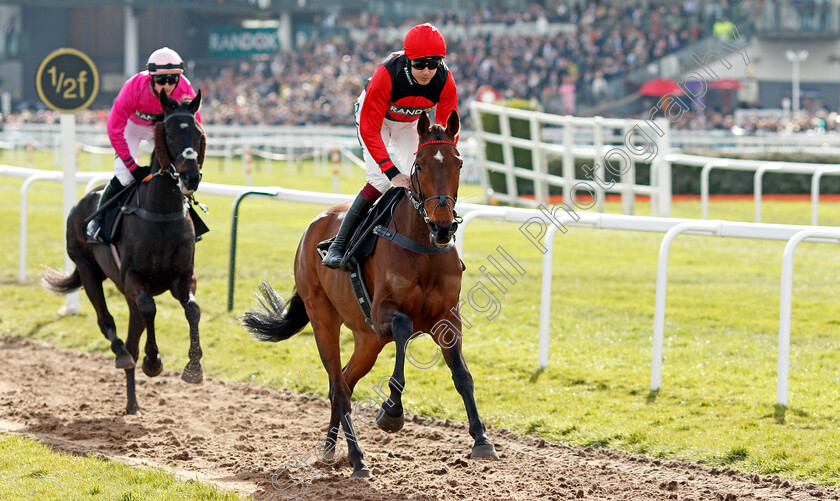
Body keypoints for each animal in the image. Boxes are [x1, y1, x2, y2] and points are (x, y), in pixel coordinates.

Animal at [44, 90, 207, 414]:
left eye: (197, 132)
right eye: (170, 133)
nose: (191, 177)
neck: (160, 213)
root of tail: (82, 203)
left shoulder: (183, 277)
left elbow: (192, 309)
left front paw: (194, 367)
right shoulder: (133, 278)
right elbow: (150, 308)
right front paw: (153, 361)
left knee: (133, 335)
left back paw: (132, 402)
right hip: (88, 269)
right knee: (107, 321)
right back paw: (122, 356)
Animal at [240, 108, 496, 476]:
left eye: (459, 163)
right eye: (419, 165)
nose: (443, 227)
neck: (422, 246)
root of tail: (311, 228)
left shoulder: (447, 318)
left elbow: (462, 375)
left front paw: (481, 438)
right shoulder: (382, 314)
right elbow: (403, 328)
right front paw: (391, 412)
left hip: (367, 340)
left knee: (344, 382)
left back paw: (331, 450)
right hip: (325, 320)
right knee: (338, 385)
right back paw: (357, 458)